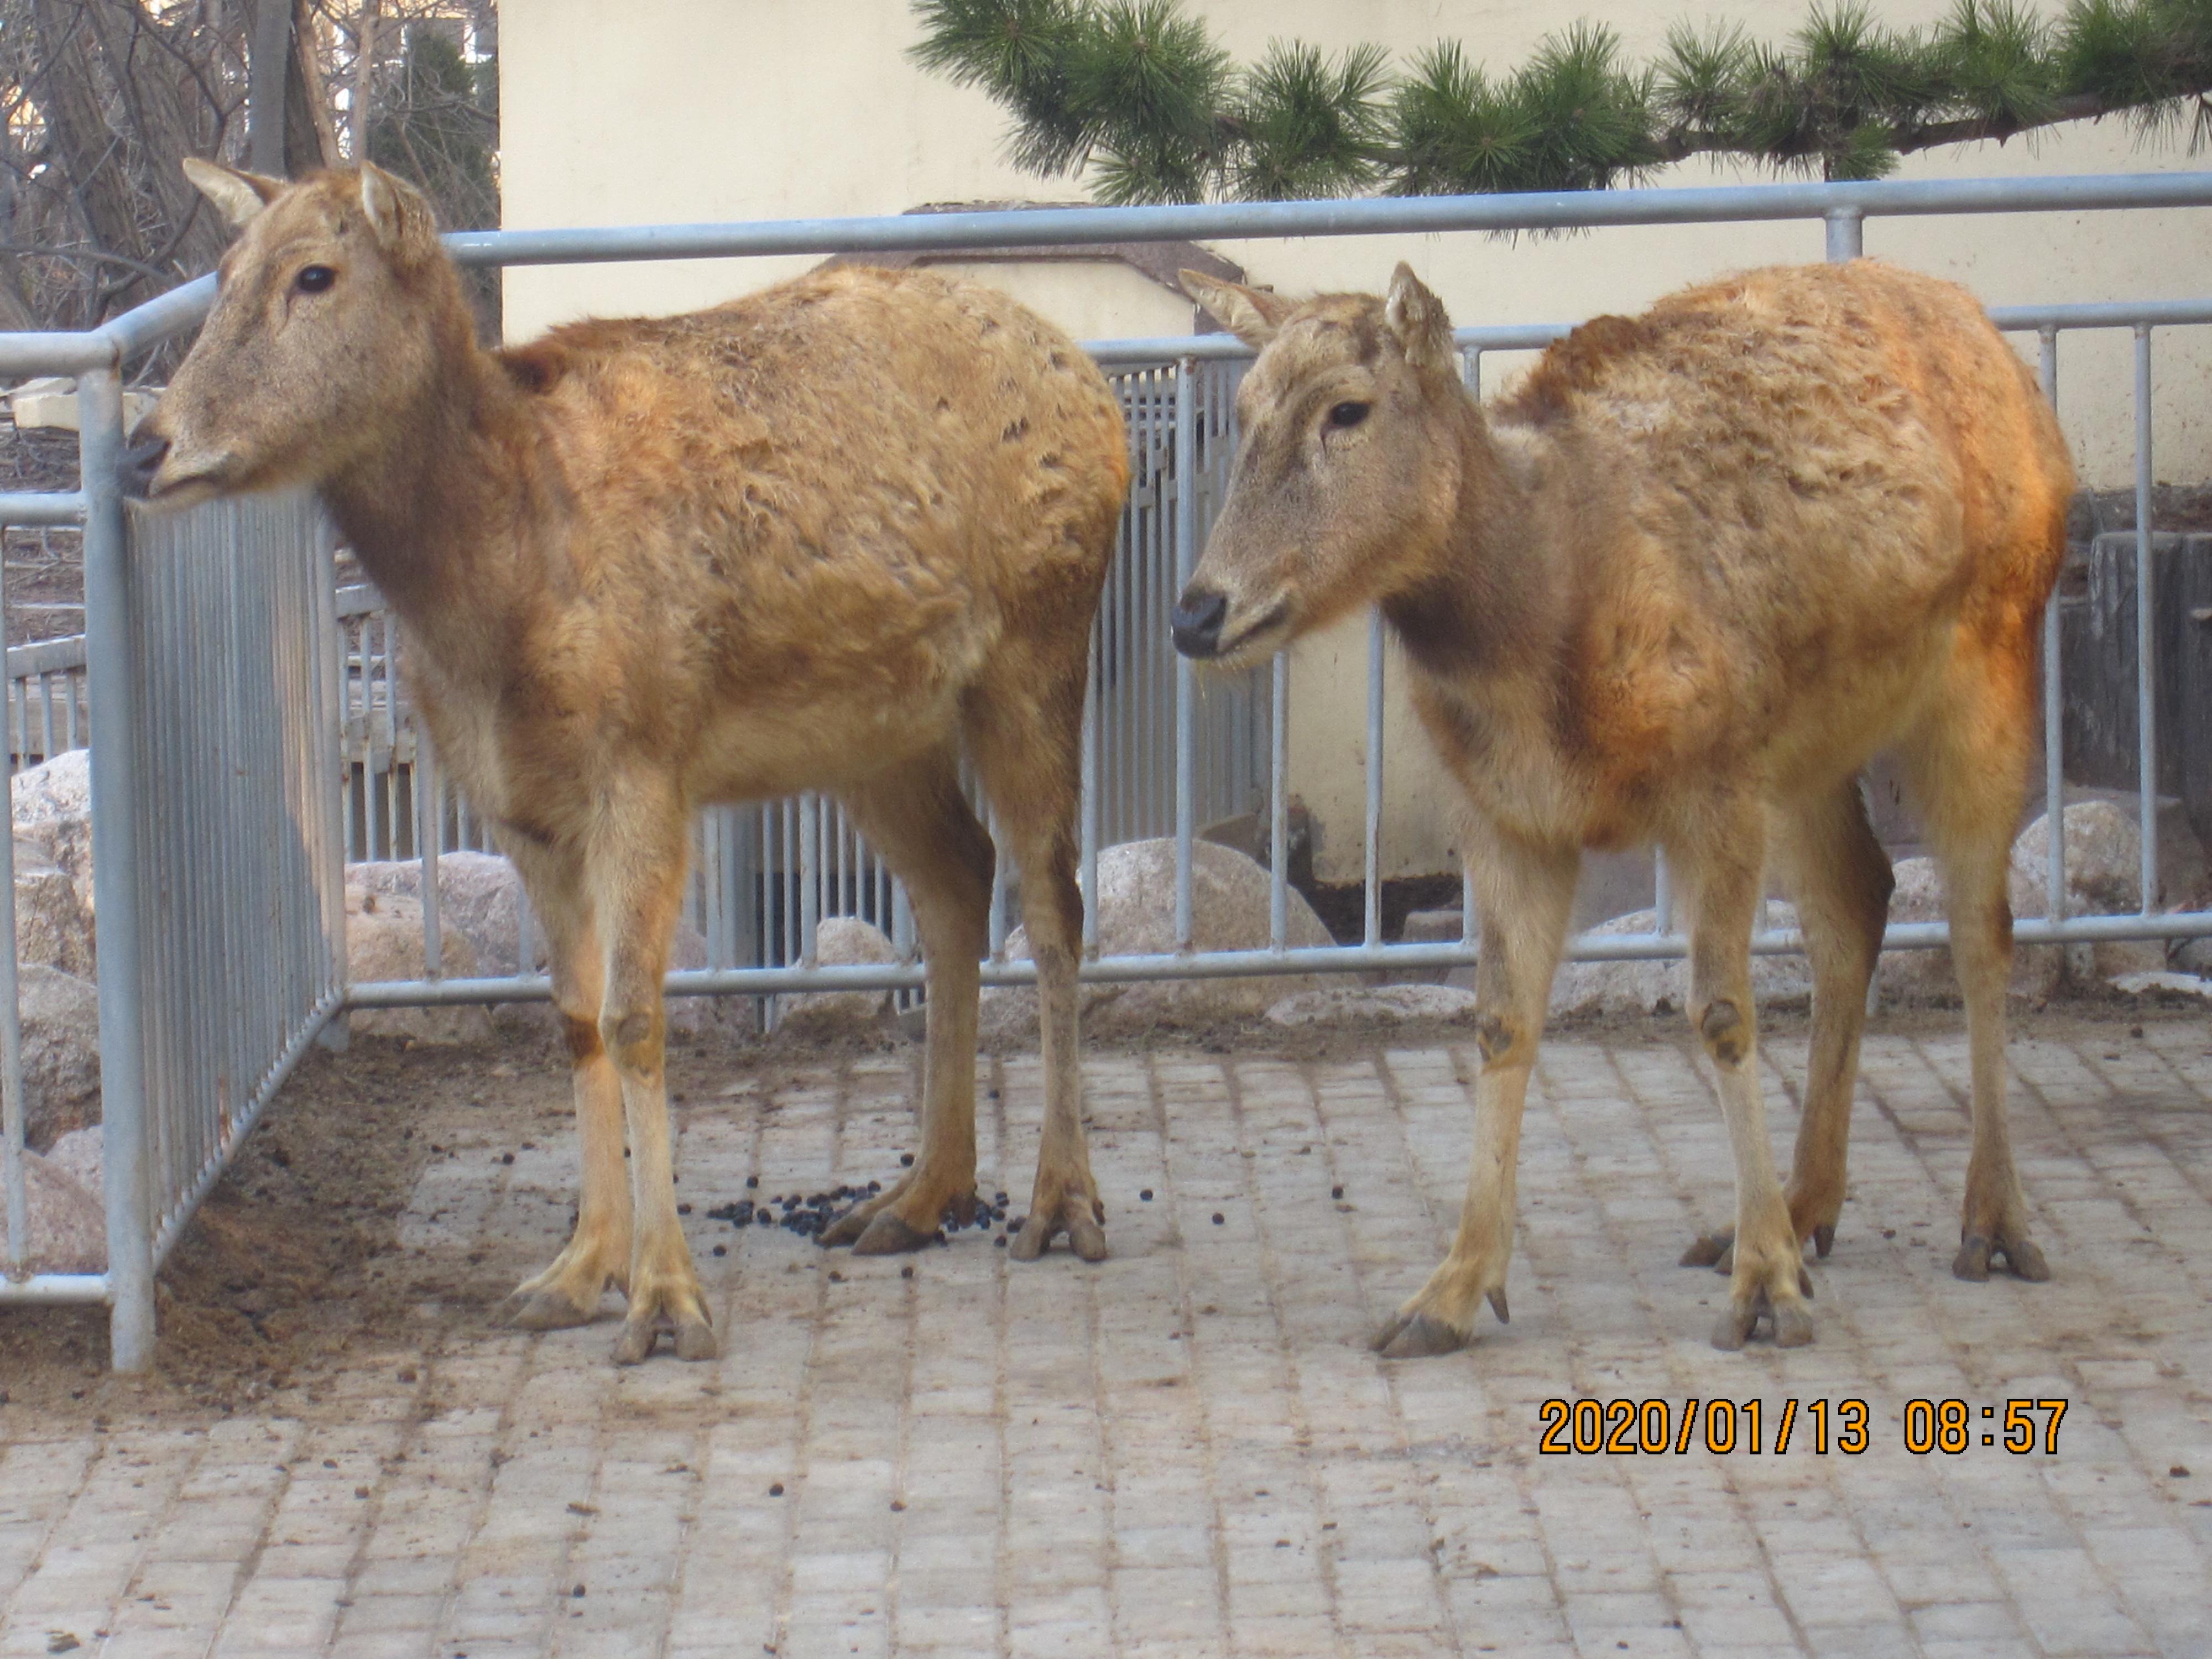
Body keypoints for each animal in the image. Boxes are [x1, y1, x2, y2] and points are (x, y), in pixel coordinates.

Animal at [126, 163, 1124, 1371]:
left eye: (313, 275)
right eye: (222, 272)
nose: (145, 448)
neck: (490, 604)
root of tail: (1096, 387)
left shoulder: (644, 762)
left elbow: (635, 1017)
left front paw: (666, 1300)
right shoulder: (517, 807)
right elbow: (571, 1017)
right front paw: (575, 1271)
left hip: (1038, 649)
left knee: (1054, 899)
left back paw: (1061, 1203)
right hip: (879, 729)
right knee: (956, 882)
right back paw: (918, 1196)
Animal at [1177, 257, 2070, 1354]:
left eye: (1348, 409)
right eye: (1245, 409)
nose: (1197, 613)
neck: (1544, 629)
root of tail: (1999, 349)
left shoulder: (1714, 786)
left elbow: (1723, 1013)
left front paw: (1765, 1294)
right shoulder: (1505, 819)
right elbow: (1500, 1022)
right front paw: (1448, 1294)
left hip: (1991, 661)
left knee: (1984, 929)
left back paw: (1991, 1224)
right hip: (1807, 749)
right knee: (1857, 904)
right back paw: (1804, 1208)